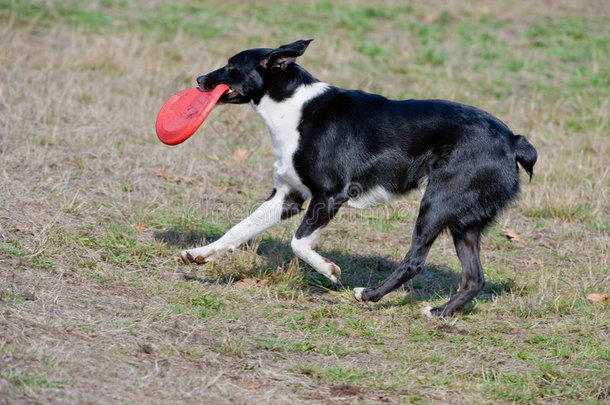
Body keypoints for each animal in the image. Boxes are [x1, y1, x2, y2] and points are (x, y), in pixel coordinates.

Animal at [178, 38, 536, 316]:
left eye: (231, 66)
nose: (199, 78)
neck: (292, 107)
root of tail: (512, 140)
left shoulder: (330, 195)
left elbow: (299, 242)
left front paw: (329, 270)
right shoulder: (287, 197)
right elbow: (239, 229)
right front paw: (200, 254)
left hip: (438, 202)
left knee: (416, 260)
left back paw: (370, 295)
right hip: (464, 221)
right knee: (474, 278)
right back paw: (439, 312)